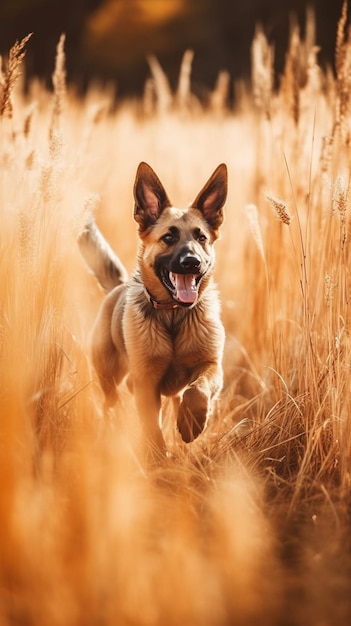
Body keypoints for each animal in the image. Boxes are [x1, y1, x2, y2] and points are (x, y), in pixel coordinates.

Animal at [79, 161, 228, 454]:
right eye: (169, 237)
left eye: (201, 238)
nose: (192, 262)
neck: (173, 315)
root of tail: (118, 287)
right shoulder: (147, 383)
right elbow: (152, 428)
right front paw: (159, 456)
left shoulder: (211, 366)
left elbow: (198, 390)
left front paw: (191, 423)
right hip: (110, 379)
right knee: (109, 405)